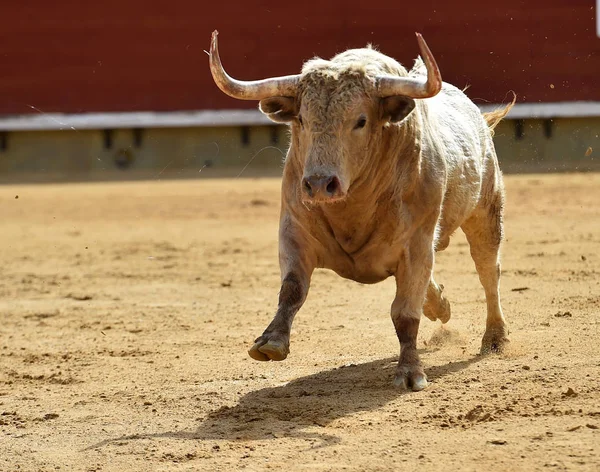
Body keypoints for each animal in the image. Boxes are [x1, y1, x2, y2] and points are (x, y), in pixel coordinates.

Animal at [207, 30, 510, 390]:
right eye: (302, 119)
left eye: (361, 121)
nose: (320, 183)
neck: (354, 207)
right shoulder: (294, 230)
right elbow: (292, 289)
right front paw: (271, 343)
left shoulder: (416, 244)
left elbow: (404, 313)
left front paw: (410, 372)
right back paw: (441, 305)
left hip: (486, 211)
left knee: (488, 271)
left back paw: (495, 338)